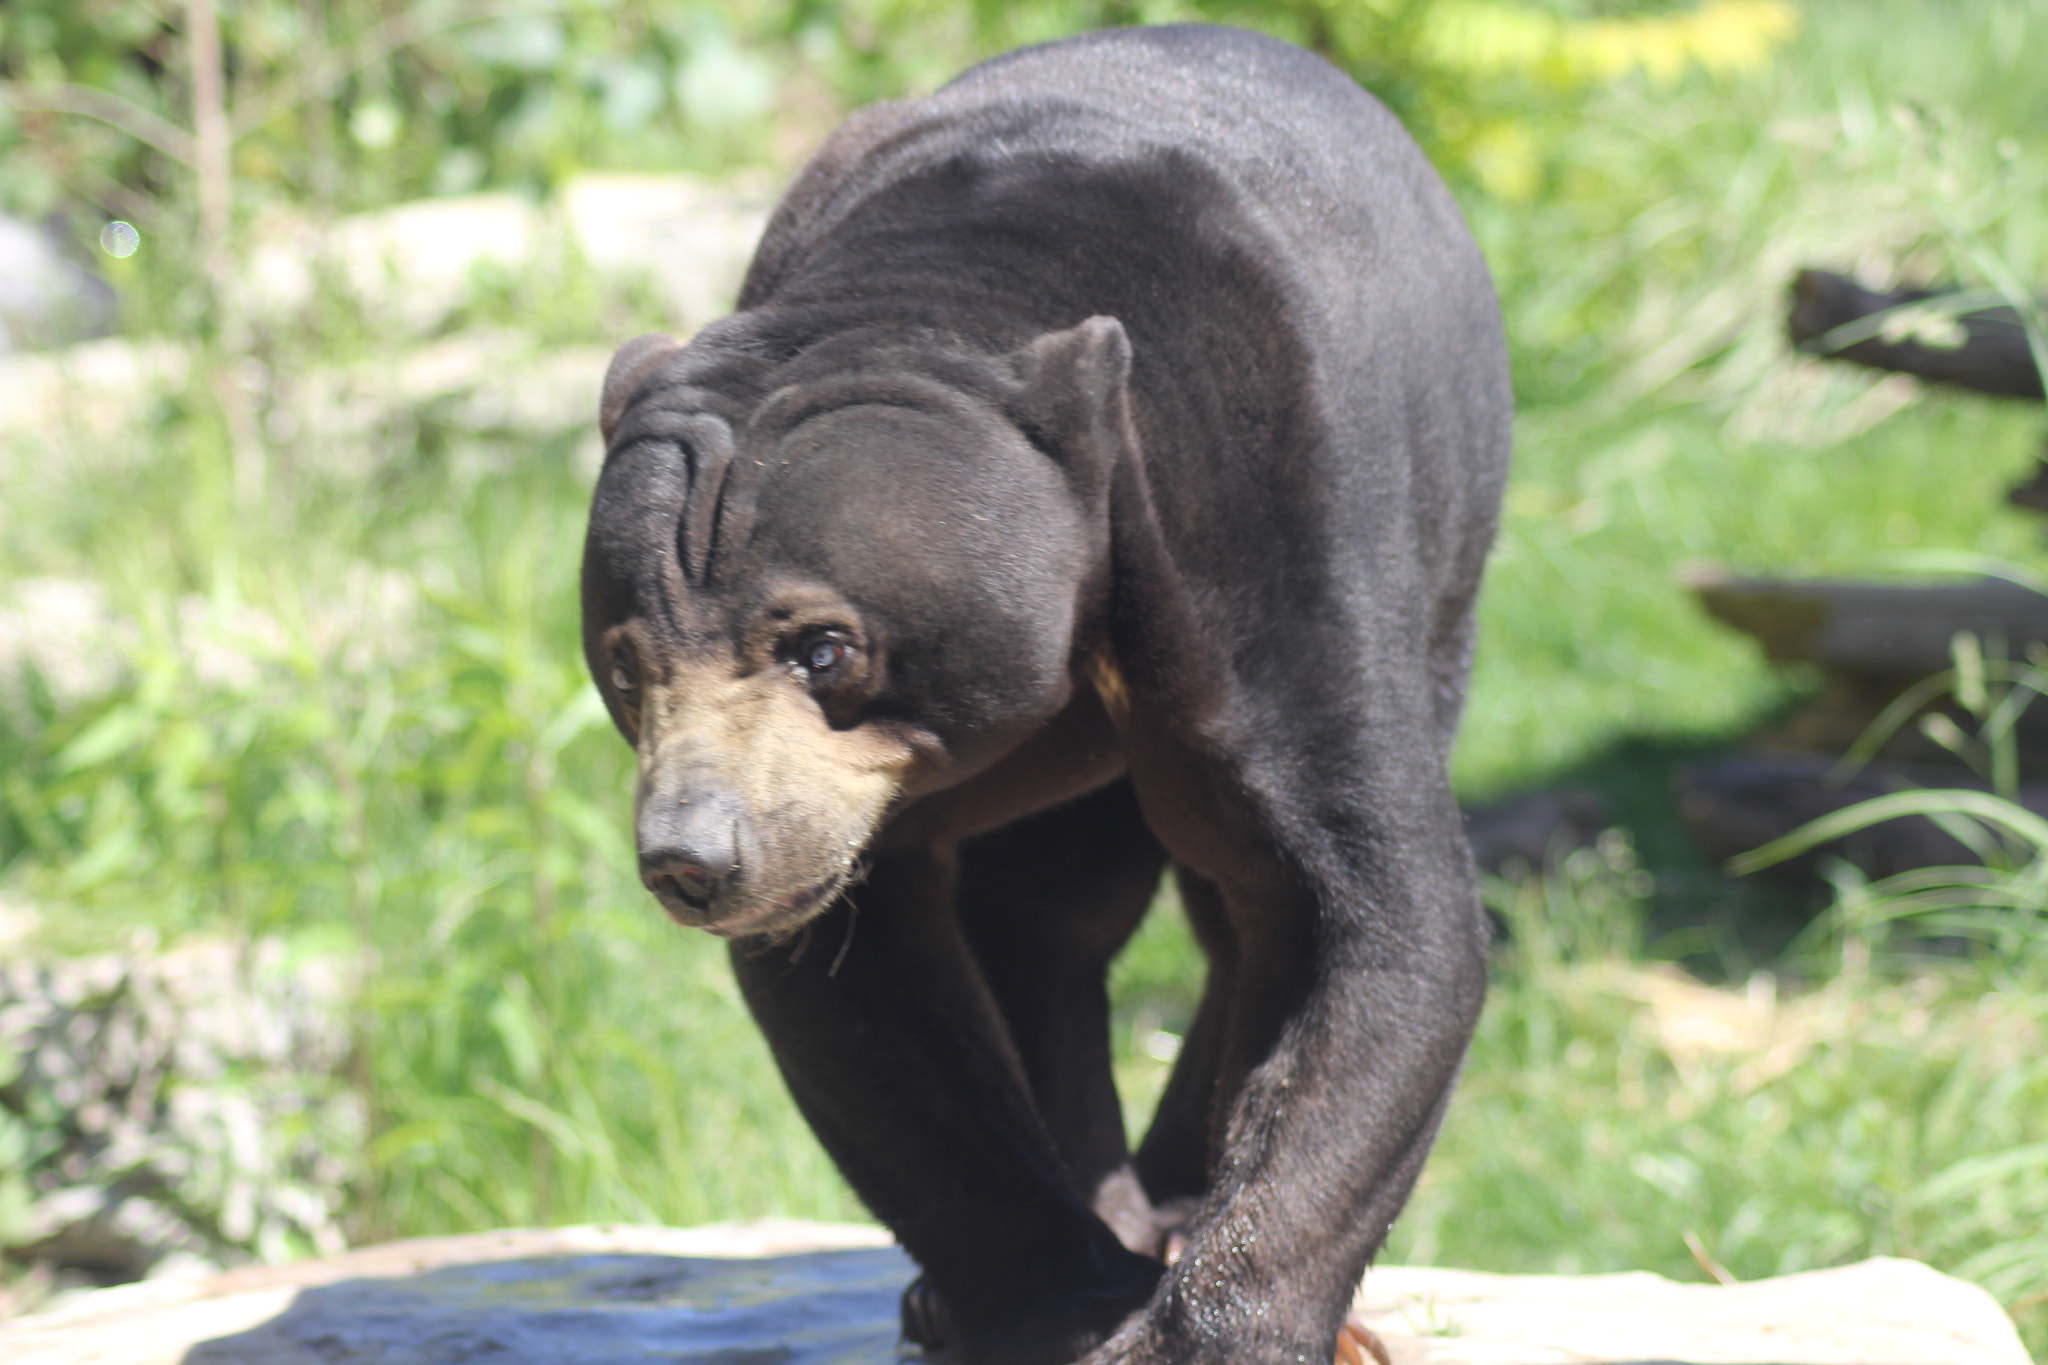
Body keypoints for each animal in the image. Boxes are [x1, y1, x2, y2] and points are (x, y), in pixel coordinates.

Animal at [580, 24, 1510, 1365]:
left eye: (823, 648)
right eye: (623, 662)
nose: (692, 858)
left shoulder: (1274, 537)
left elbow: (1371, 914)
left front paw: (1201, 1324)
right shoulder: (850, 814)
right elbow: (865, 994)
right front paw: (1056, 1299)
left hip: (1447, 568)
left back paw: (1165, 1205)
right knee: (1044, 924)